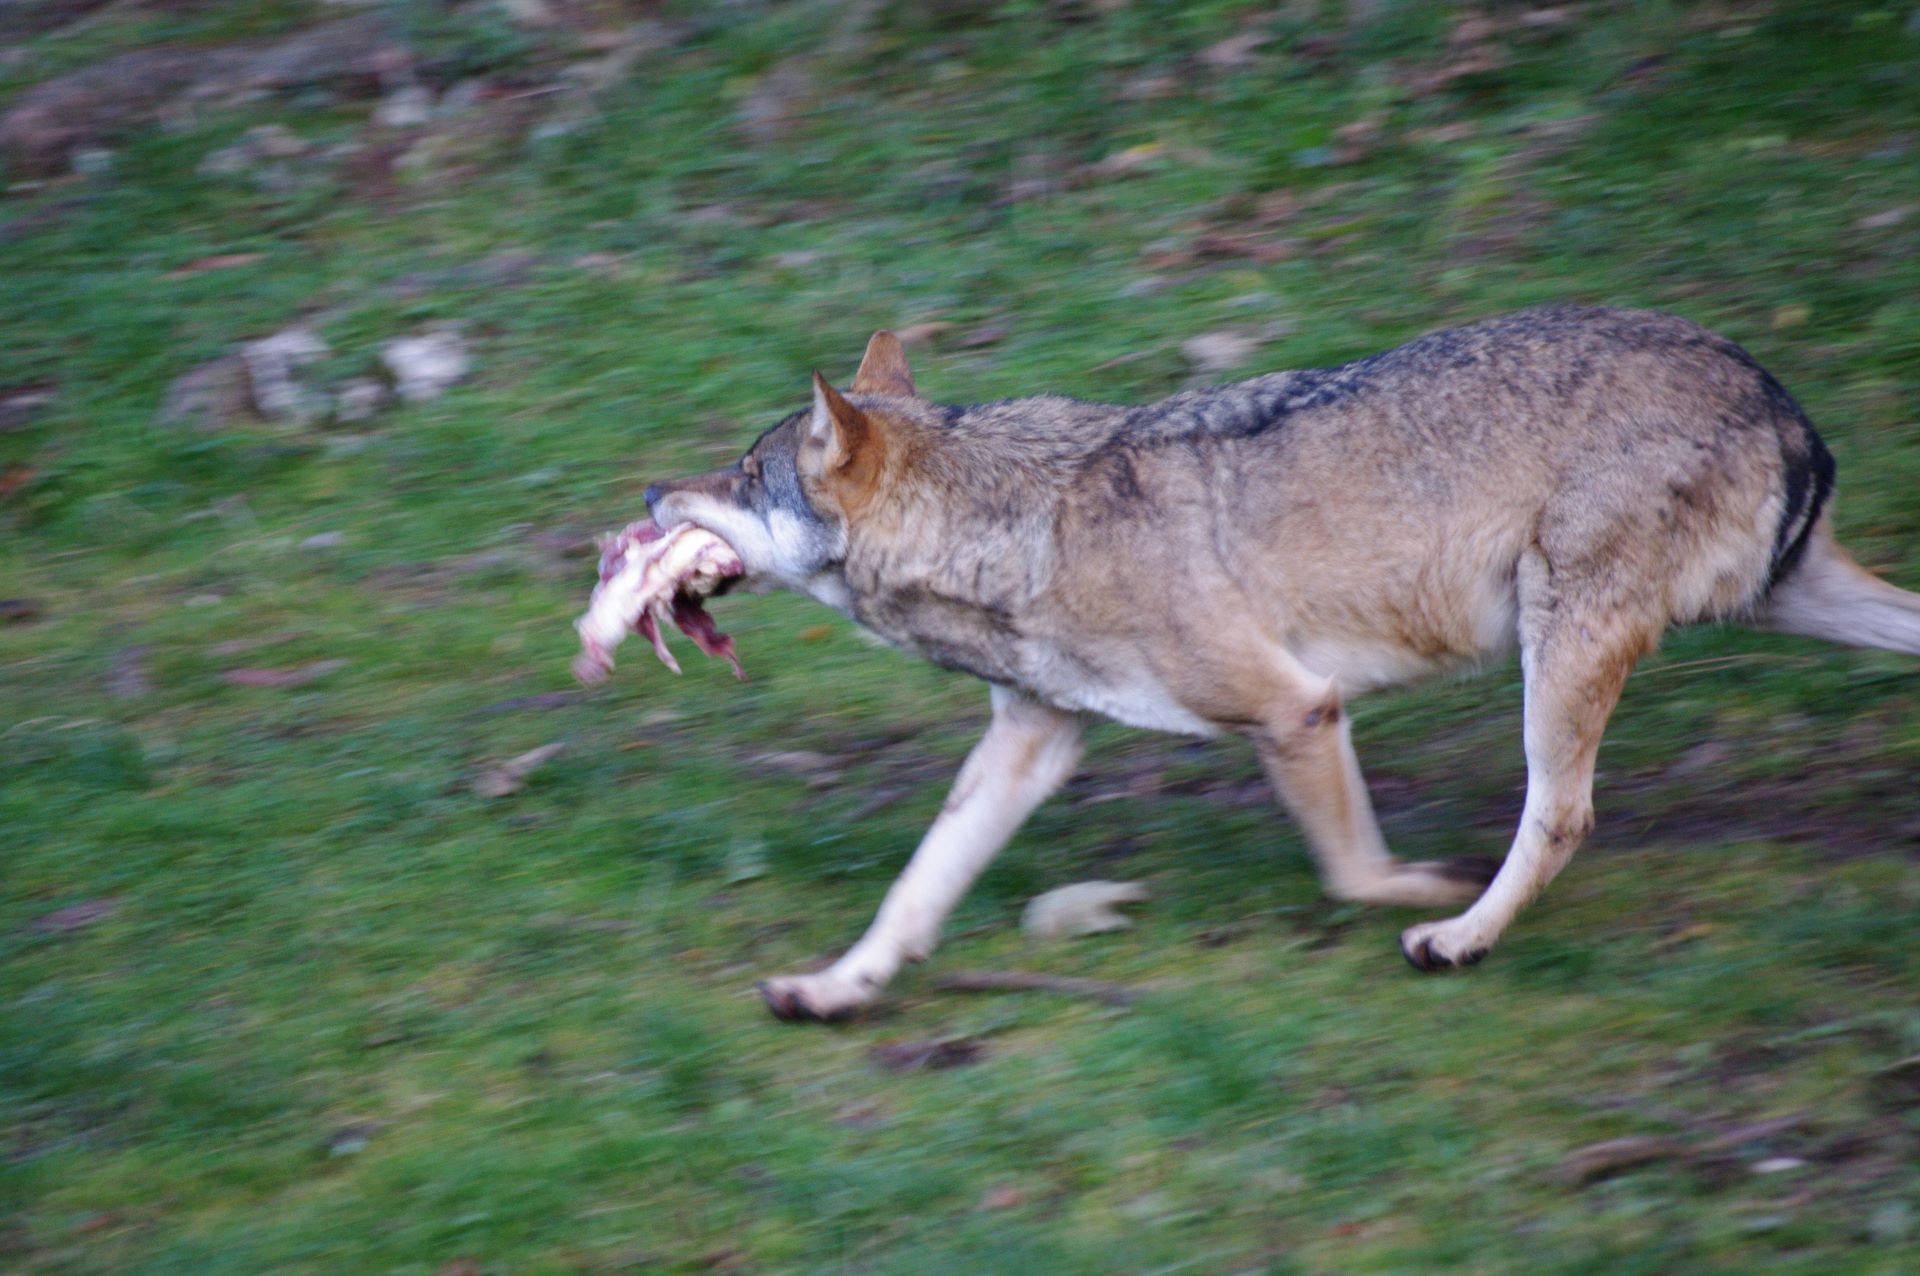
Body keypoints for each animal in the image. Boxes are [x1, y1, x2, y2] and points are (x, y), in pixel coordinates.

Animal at [645, 303, 1920, 1020]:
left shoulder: (1298, 711)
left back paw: (1462, 940)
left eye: (743, 475)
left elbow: (1356, 875)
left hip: (1557, 649)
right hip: (1792, 605)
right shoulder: (1029, 742)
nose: (650, 494)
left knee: (1560, 813)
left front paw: (1428, 895)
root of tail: (1770, 388)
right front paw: (832, 989)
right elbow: (913, 893)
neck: (1019, 526)